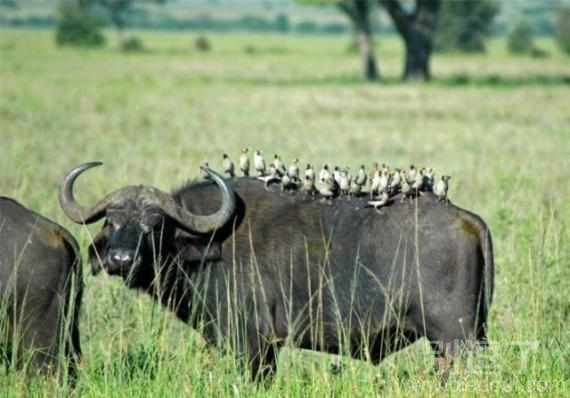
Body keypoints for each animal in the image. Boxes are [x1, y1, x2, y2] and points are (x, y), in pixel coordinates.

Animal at [60, 162, 490, 382]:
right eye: (113, 222)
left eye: (154, 225)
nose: (120, 259)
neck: (207, 242)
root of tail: (466, 219)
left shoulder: (251, 343)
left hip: (455, 338)